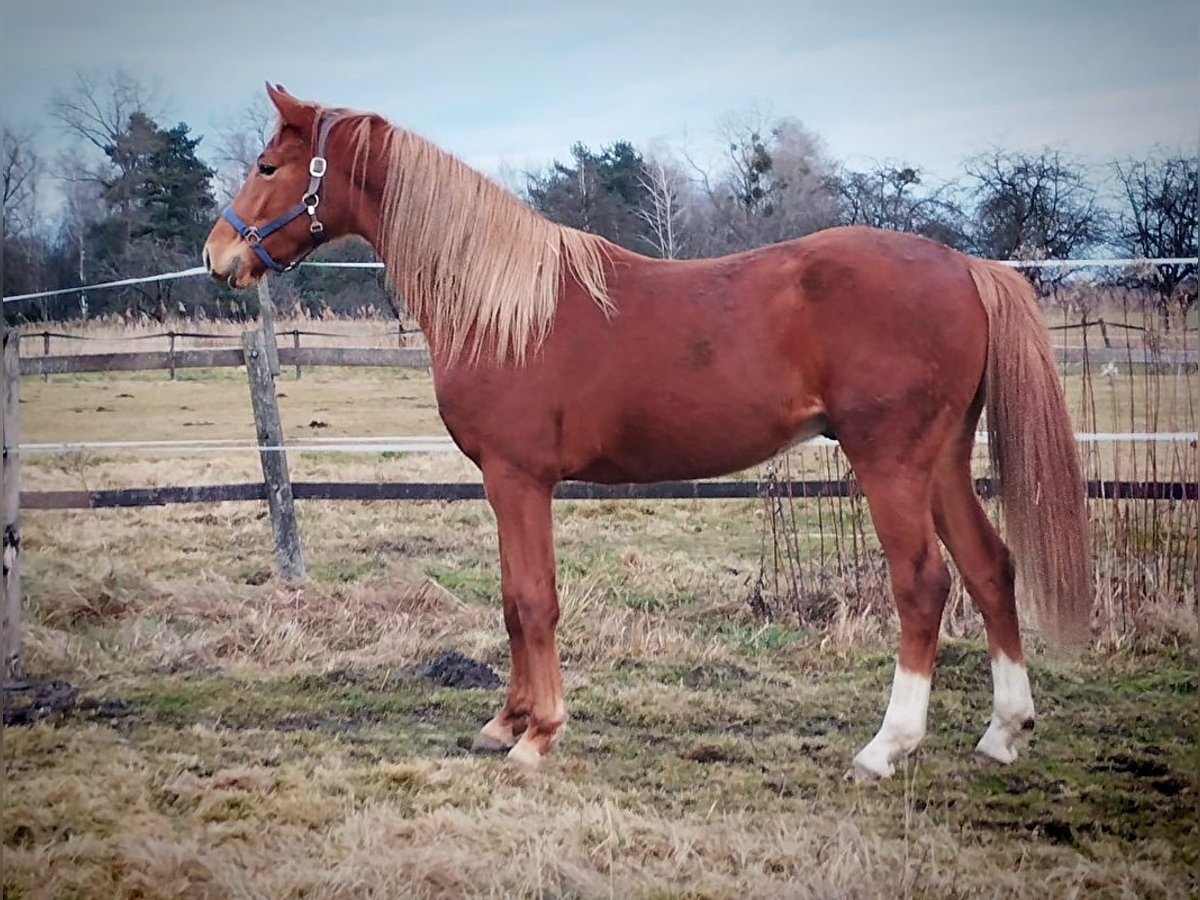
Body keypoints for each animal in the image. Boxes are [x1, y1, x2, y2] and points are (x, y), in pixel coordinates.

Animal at [204, 86, 1089, 782]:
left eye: (269, 167)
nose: (218, 257)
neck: (501, 306)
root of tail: (968, 265)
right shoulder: (505, 485)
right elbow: (510, 600)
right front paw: (505, 722)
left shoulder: (517, 477)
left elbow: (534, 601)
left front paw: (539, 736)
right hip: (942, 460)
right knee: (990, 567)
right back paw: (1004, 732)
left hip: (890, 463)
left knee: (924, 584)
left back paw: (886, 747)